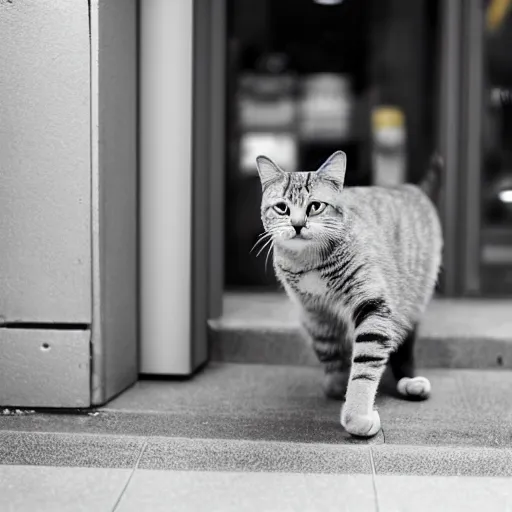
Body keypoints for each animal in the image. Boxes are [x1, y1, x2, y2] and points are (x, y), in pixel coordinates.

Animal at [256, 150, 444, 438]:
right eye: (282, 208)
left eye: (315, 206)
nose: (298, 225)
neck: (309, 260)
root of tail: (413, 188)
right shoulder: (315, 313)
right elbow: (328, 349)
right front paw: (336, 382)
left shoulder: (373, 306)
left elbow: (364, 367)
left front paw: (357, 414)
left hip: (411, 299)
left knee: (406, 341)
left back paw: (409, 379)